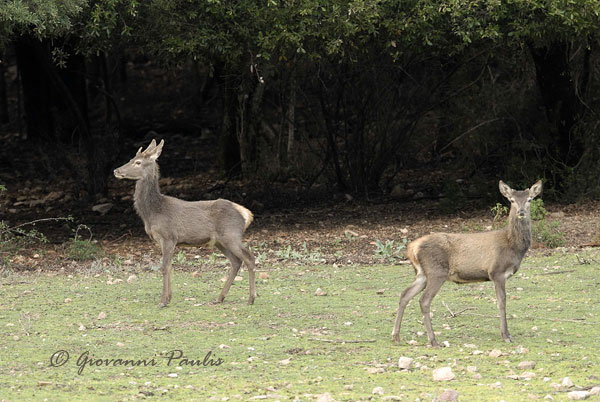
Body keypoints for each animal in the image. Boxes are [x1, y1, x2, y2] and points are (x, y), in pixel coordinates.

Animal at [113, 140, 256, 306]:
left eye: (138, 162)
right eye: (131, 158)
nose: (116, 170)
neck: (152, 212)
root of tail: (246, 213)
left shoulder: (169, 236)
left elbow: (164, 267)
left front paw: (163, 301)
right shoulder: (164, 241)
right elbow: (169, 267)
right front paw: (169, 297)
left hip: (231, 235)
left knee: (249, 258)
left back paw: (251, 299)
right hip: (220, 241)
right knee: (236, 261)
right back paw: (220, 298)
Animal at [394, 181, 544, 348]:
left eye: (529, 199)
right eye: (511, 200)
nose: (521, 211)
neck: (512, 246)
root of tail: (412, 247)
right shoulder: (497, 272)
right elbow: (501, 302)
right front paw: (506, 335)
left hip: (422, 274)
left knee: (405, 294)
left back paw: (396, 336)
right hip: (436, 271)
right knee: (424, 300)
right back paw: (433, 341)